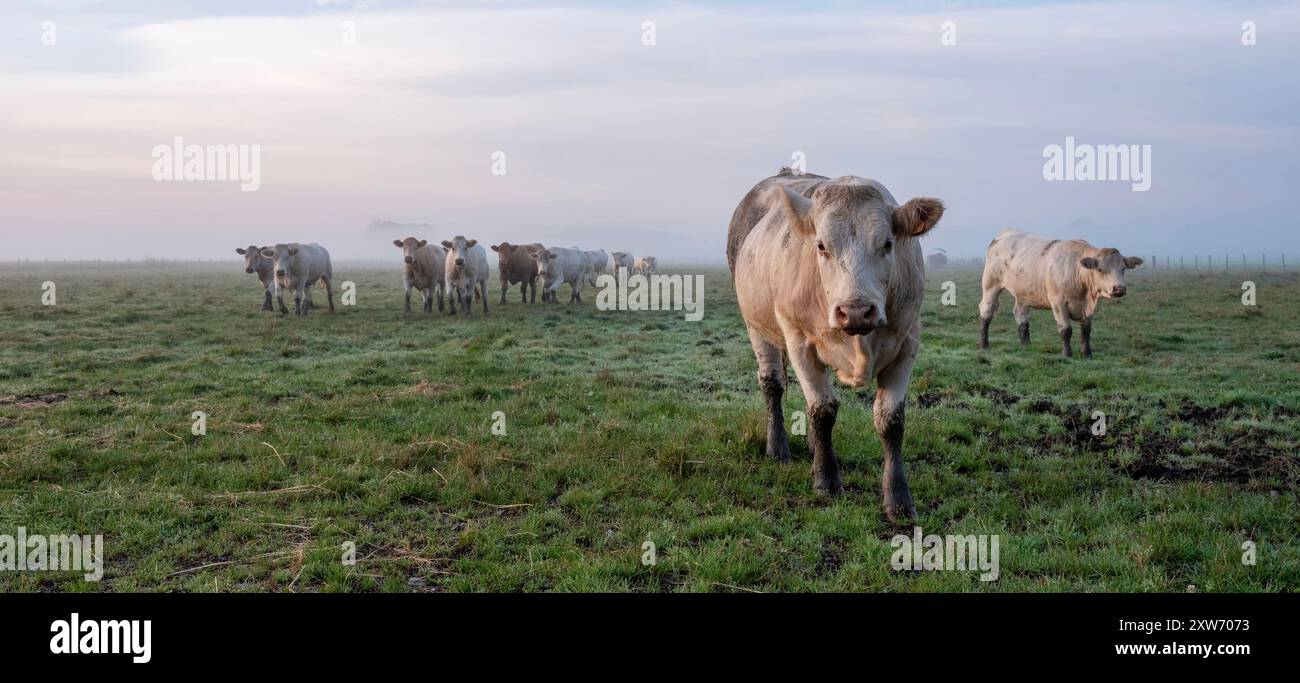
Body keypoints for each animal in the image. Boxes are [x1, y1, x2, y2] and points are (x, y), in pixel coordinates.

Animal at [728, 170, 941, 522]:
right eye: (821, 245)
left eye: (887, 243)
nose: (855, 310)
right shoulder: (799, 341)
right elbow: (822, 411)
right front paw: (826, 480)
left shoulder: (907, 342)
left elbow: (891, 421)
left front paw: (898, 498)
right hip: (757, 327)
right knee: (772, 385)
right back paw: (778, 447)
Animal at [977, 228, 1144, 356]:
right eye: (1100, 269)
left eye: (1123, 268)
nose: (1119, 288)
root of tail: (1006, 233)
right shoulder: (1058, 302)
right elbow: (1066, 330)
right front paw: (1067, 354)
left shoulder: (1088, 307)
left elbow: (1086, 331)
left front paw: (1087, 354)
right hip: (991, 285)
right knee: (986, 313)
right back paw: (984, 345)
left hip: (1023, 293)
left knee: (1021, 316)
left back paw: (1026, 345)